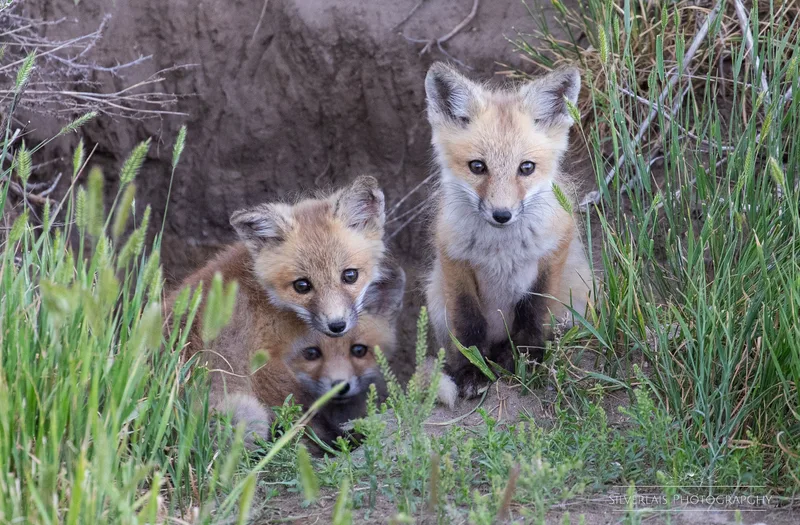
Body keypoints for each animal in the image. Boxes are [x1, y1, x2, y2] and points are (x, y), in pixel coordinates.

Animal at [423, 62, 593, 404]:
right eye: (477, 166)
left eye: (526, 168)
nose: (502, 215)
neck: (502, 250)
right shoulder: (454, 261)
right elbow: (467, 326)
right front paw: (472, 372)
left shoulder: (553, 251)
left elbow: (535, 312)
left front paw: (524, 358)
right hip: (435, 295)